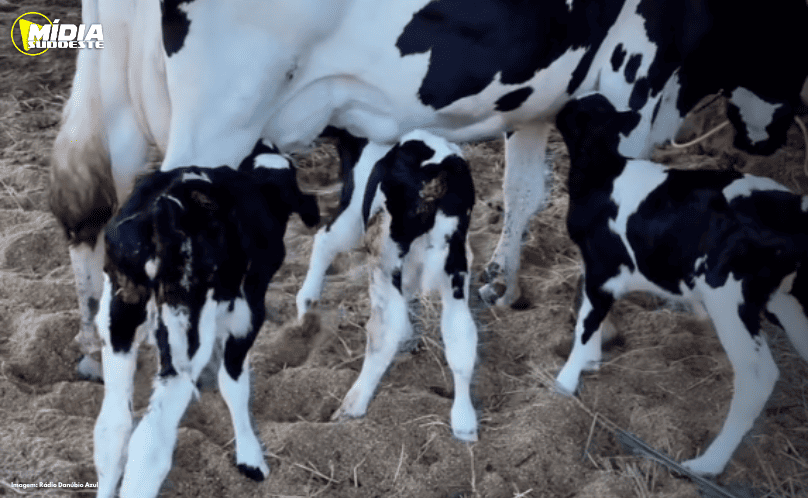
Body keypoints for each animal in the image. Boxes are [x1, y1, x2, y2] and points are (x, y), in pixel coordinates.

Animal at [554, 93, 808, 476]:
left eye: (574, 112)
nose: (558, 107)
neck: (603, 173)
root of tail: (790, 206)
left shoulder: (603, 269)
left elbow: (586, 323)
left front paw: (566, 380)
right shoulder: (602, 273)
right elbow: (591, 314)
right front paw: (591, 361)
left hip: (729, 298)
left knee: (757, 377)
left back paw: (707, 464)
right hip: (786, 298)